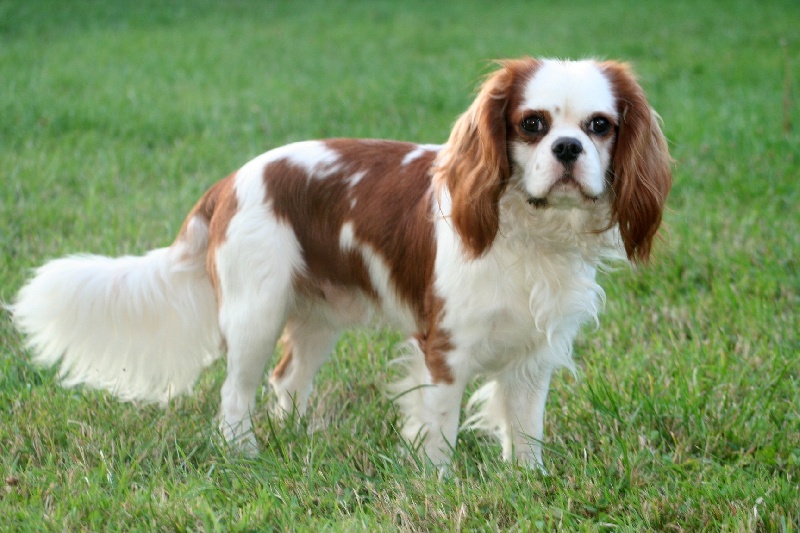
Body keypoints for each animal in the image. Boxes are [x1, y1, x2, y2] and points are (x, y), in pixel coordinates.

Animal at [14, 58, 676, 466]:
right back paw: (245, 456)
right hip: (256, 313)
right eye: (532, 124)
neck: (528, 230)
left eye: (600, 126)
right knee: (235, 394)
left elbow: (525, 428)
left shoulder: (535, 354)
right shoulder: (444, 347)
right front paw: (440, 482)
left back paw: (301, 437)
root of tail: (228, 182)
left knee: (288, 380)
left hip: (316, 318)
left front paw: (527, 482)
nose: (567, 149)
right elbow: (440, 424)